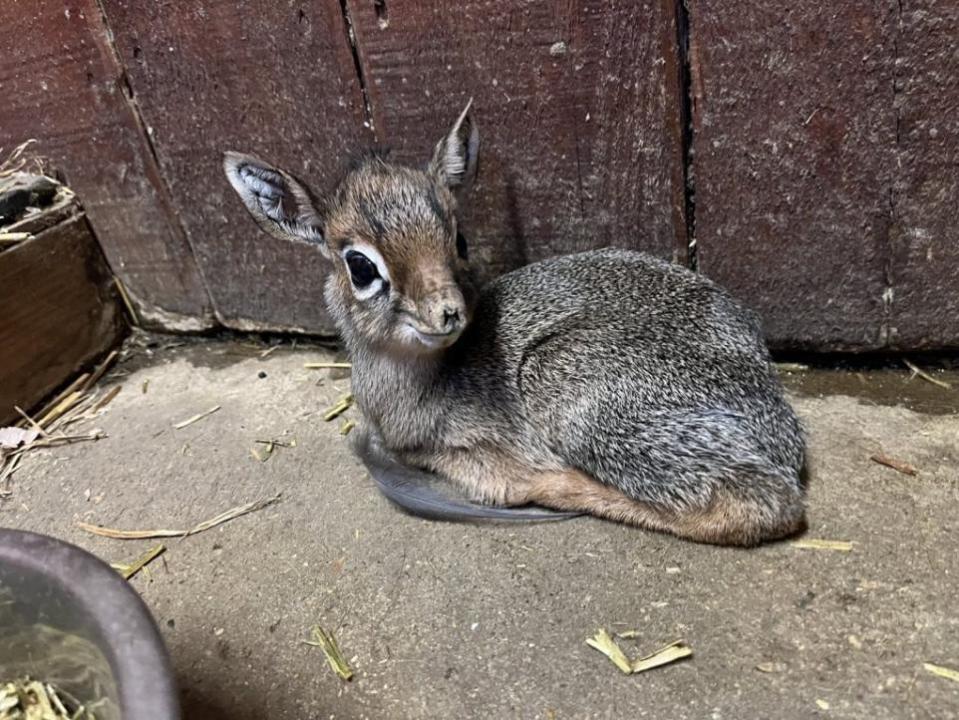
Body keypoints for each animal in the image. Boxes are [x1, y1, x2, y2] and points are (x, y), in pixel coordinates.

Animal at [227, 102, 808, 544]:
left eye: (459, 240)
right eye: (361, 267)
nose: (448, 312)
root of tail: (781, 434)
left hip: (569, 386)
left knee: (761, 504)